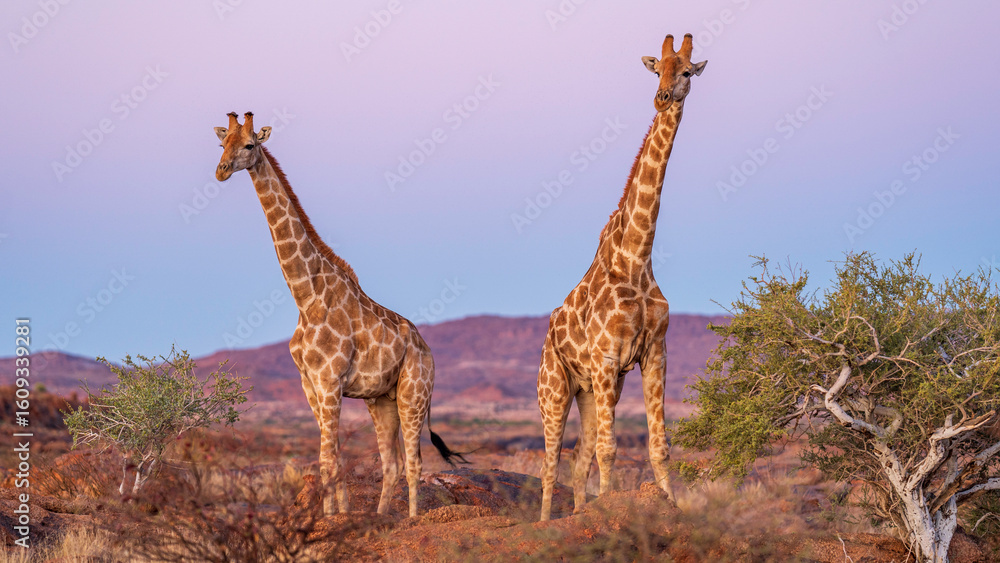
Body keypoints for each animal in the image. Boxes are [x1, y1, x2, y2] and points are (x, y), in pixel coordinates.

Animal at [214, 112, 459, 517]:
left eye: (249, 145)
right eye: (222, 144)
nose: (220, 171)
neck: (305, 295)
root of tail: (427, 350)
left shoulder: (330, 381)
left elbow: (327, 458)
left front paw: (331, 517)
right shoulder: (310, 384)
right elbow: (334, 458)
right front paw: (338, 515)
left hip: (414, 393)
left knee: (414, 461)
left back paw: (411, 519)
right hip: (382, 400)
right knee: (391, 463)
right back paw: (379, 516)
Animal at [536, 34, 707, 521]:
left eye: (685, 71)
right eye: (657, 70)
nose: (662, 97)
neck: (638, 256)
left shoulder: (654, 355)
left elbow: (658, 447)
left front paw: (669, 505)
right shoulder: (608, 357)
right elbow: (610, 450)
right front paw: (610, 509)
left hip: (589, 390)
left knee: (578, 457)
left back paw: (577, 511)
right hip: (555, 388)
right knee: (551, 462)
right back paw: (545, 522)